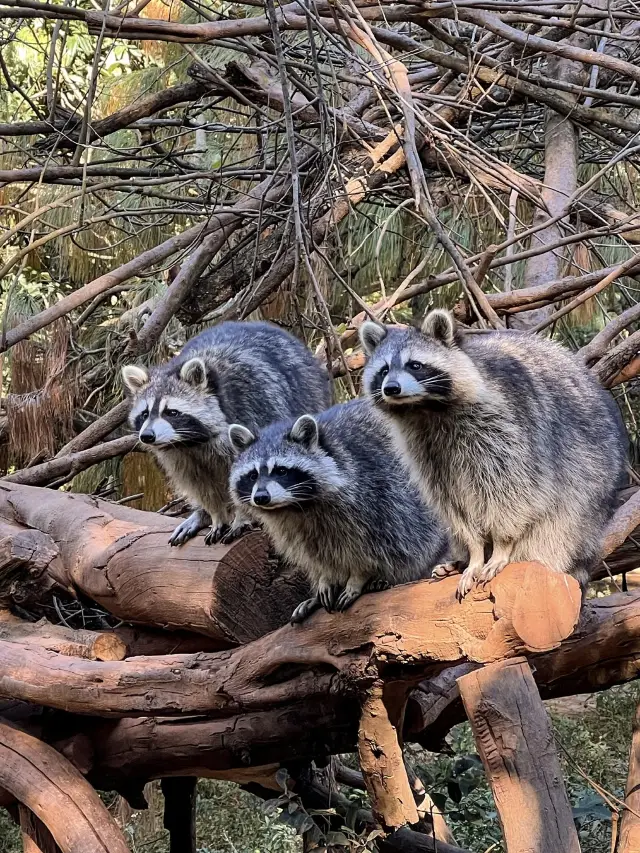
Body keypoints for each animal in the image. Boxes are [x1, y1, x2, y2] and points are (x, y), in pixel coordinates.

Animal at [121, 320, 330, 544]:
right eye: (144, 414)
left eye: (171, 412)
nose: (147, 436)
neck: (191, 441)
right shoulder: (179, 454)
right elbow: (199, 485)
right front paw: (215, 515)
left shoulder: (254, 410)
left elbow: (245, 481)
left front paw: (242, 517)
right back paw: (201, 513)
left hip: (310, 394)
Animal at [228, 400, 448, 620]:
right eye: (253, 475)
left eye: (281, 471)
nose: (261, 497)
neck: (296, 506)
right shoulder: (292, 526)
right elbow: (313, 553)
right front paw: (325, 577)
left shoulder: (375, 495)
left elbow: (376, 546)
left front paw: (359, 576)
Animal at [358, 310, 628, 596]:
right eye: (384, 370)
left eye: (415, 365)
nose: (391, 388)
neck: (426, 409)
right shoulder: (427, 450)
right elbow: (454, 506)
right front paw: (475, 553)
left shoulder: (508, 425)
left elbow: (512, 494)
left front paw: (500, 547)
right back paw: (460, 559)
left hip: (590, 482)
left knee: (561, 522)